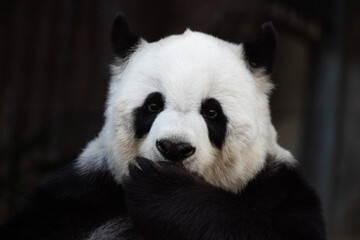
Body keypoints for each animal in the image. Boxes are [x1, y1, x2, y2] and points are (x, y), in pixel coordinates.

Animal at [0, 13, 326, 240]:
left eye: (212, 111)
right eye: (153, 105)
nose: (174, 148)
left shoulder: (277, 187)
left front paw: (162, 190)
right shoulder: (81, 193)